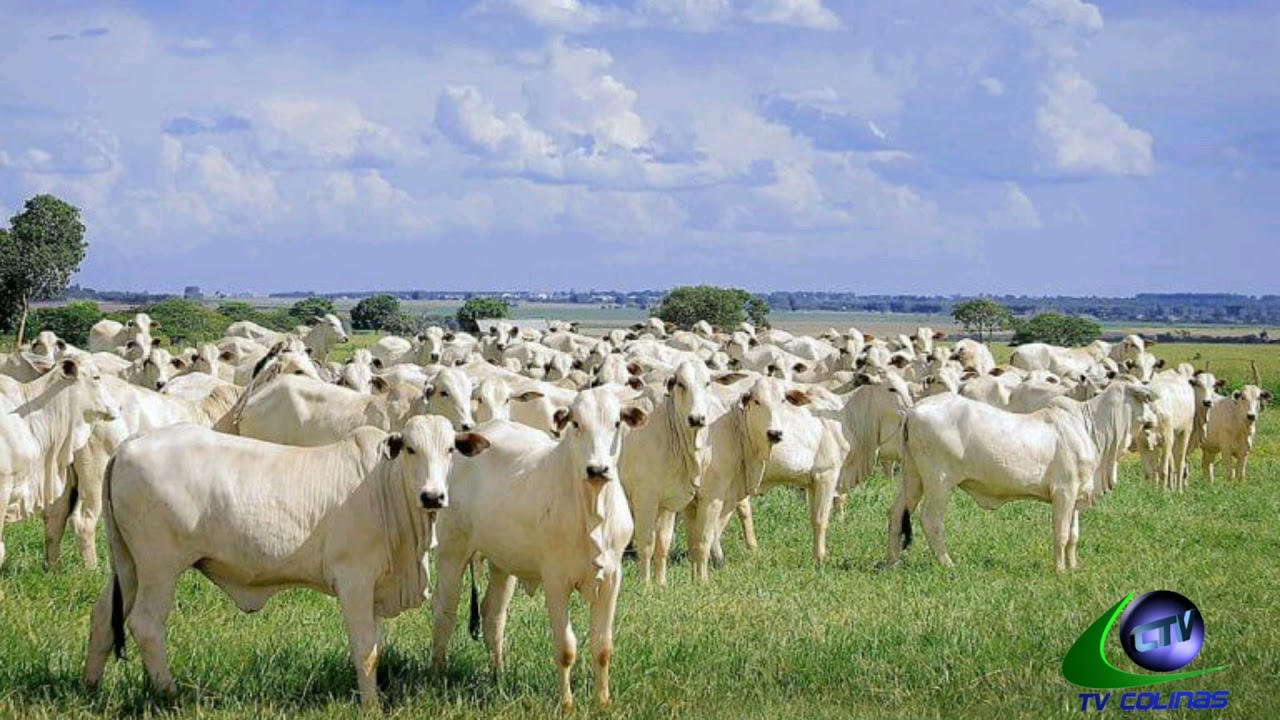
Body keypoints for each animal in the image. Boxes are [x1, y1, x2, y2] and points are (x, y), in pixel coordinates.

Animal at [81, 415, 488, 707]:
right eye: (411, 450)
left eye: (450, 449)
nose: (432, 496)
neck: (384, 487)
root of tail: (130, 444)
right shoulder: (354, 579)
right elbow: (365, 650)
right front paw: (371, 707)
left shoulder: (374, 591)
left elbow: (376, 648)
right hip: (159, 567)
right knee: (146, 624)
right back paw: (169, 693)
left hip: (128, 566)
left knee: (102, 617)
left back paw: (91, 687)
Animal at [432, 386, 650, 707]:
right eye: (576, 424)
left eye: (616, 423)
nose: (598, 469)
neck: (592, 507)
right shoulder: (555, 580)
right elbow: (566, 648)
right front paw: (567, 703)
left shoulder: (612, 577)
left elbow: (602, 646)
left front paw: (602, 700)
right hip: (452, 552)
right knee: (444, 613)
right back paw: (439, 674)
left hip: (503, 563)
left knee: (493, 615)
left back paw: (498, 676)